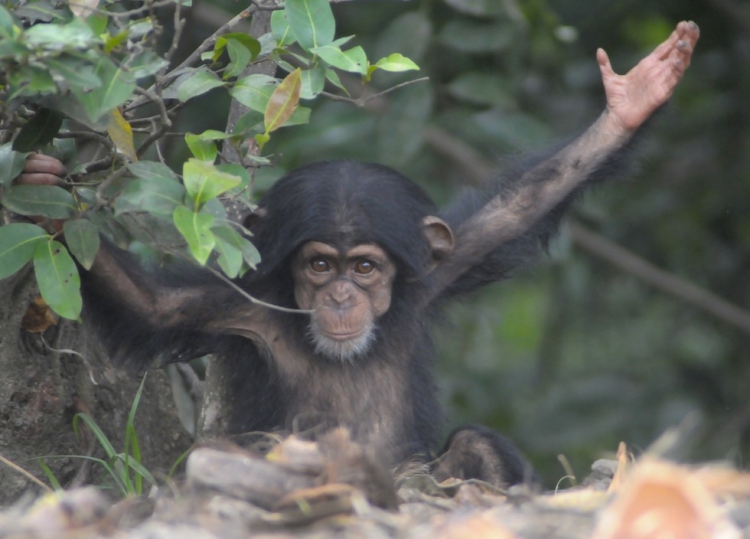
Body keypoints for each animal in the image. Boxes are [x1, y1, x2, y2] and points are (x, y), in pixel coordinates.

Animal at [17, 21, 704, 488]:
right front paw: (42, 189)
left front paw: (631, 103)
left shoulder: (440, 270)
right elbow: (151, 306)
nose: (342, 296)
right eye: (321, 265)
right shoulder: (231, 306)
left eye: (365, 268)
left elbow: (526, 204)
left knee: (474, 445)